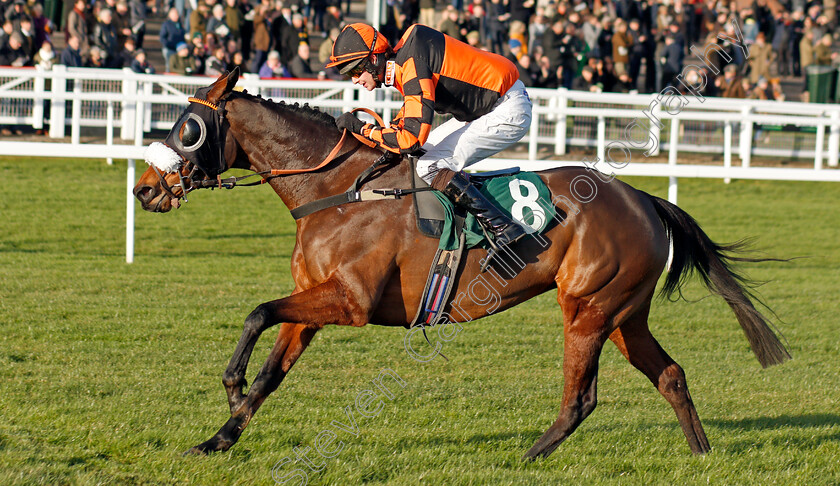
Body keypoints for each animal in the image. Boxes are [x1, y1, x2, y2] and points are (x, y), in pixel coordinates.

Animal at [130, 70, 788, 458]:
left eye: (187, 128)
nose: (143, 189)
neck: (340, 191)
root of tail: (645, 198)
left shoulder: (349, 302)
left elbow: (256, 312)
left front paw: (231, 390)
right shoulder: (316, 304)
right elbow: (271, 366)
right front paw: (221, 434)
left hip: (588, 309)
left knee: (582, 397)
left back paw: (530, 455)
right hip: (624, 313)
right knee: (670, 374)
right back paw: (701, 453)